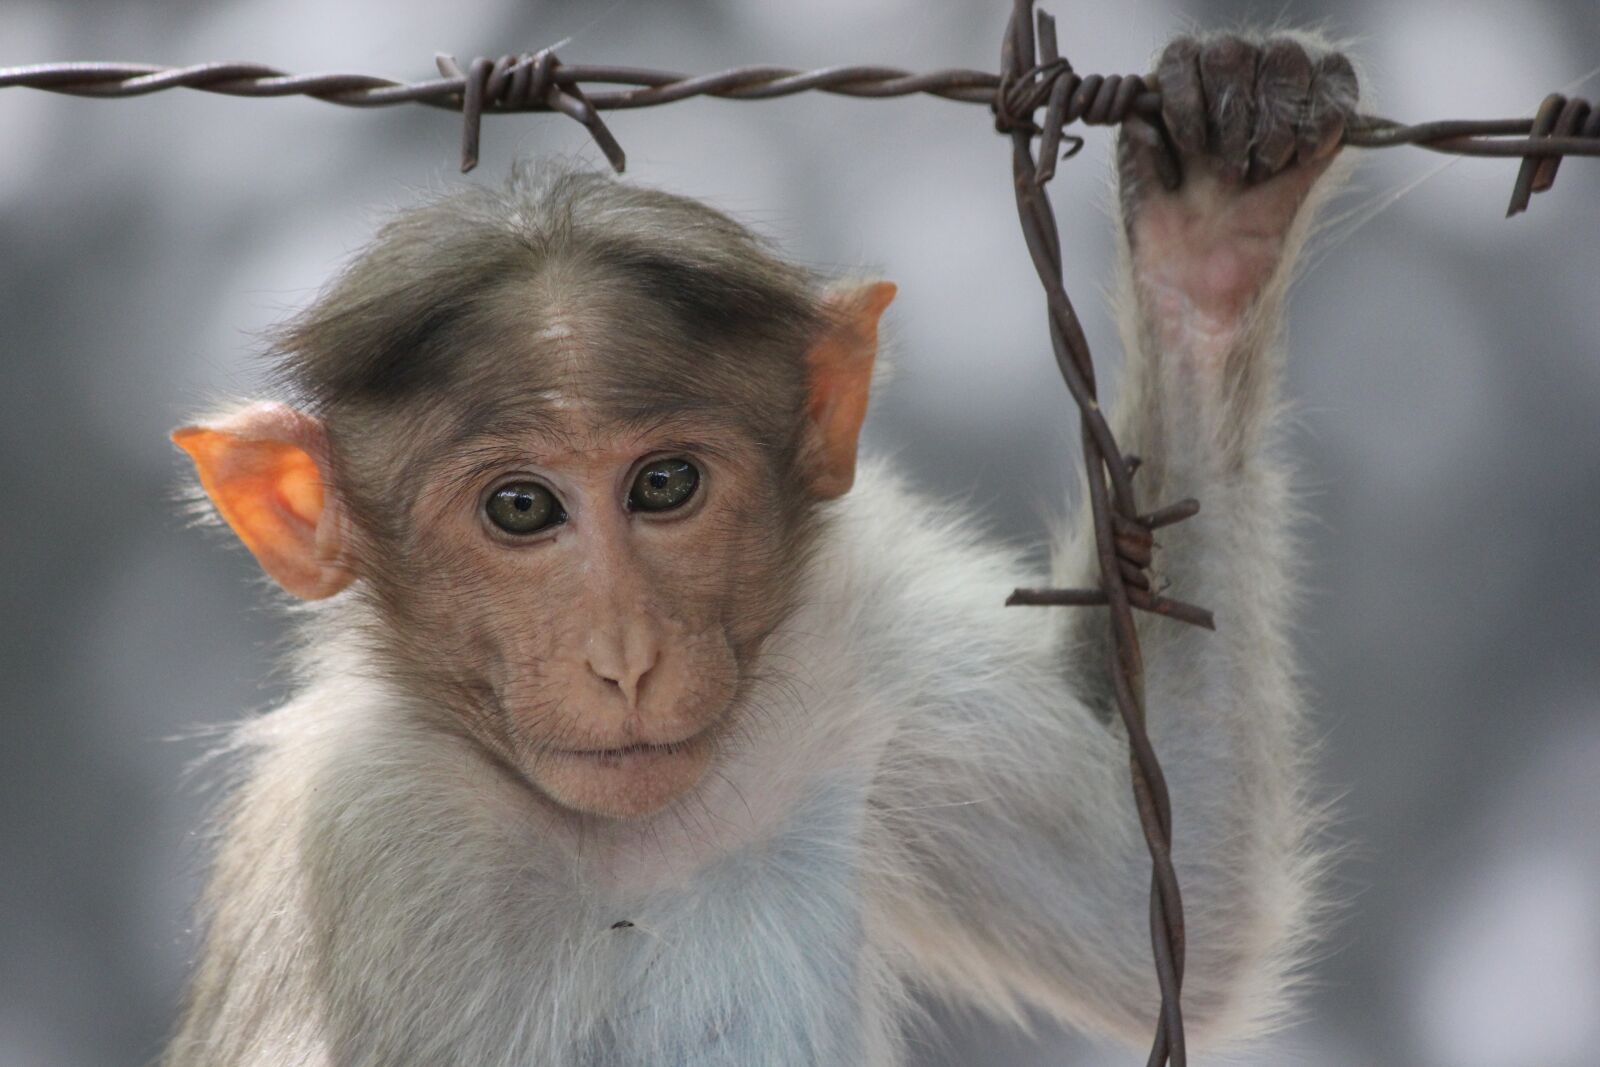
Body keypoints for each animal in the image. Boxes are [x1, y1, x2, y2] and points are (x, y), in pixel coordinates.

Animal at [164, 31, 1358, 1067]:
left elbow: (1166, 905)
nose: (625, 656)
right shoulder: (369, 836)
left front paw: (1215, 209)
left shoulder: (864, 655)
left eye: (664, 485)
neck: (623, 837)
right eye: (520, 508)